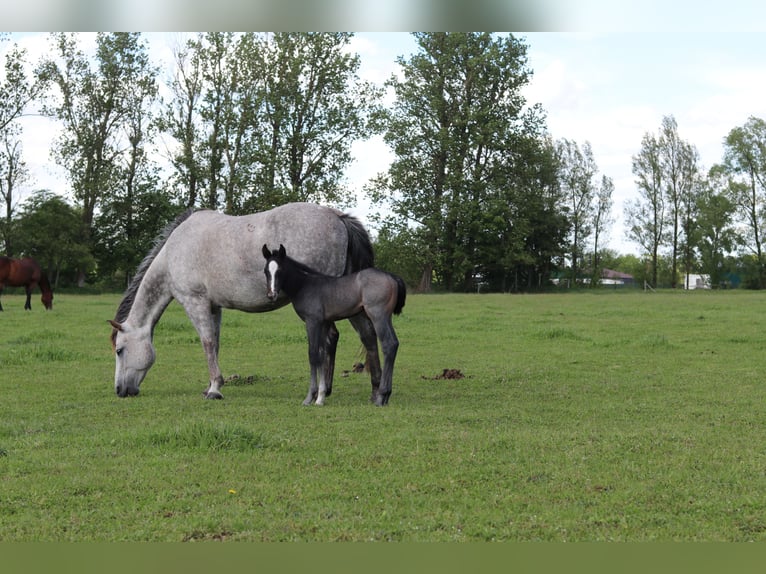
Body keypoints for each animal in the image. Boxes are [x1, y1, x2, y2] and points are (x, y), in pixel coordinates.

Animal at [264, 245, 404, 408]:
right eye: (266, 271)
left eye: (280, 270)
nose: (271, 295)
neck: (305, 285)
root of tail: (392, 277)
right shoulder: (323, 323)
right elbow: (322, 354)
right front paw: (320, 397)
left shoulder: (312, 322)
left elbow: (313, 354)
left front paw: (310, 397)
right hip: (386, 317)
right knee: (394, 343)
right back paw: (386, 396)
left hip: (378, 316)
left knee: (388, 344)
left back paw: (381, 396)